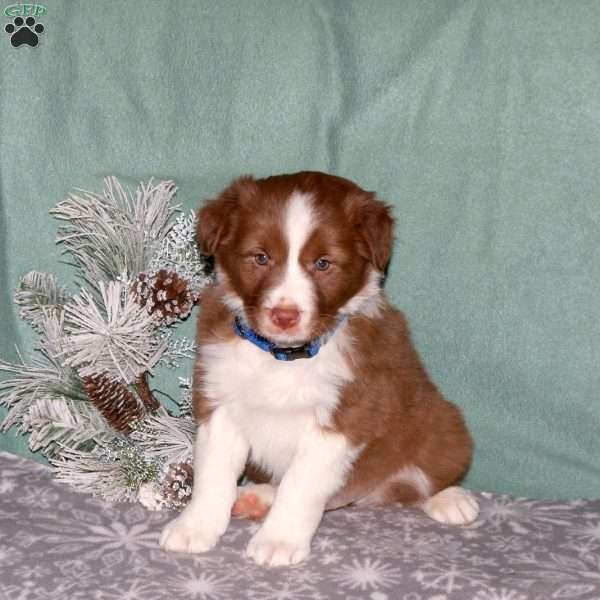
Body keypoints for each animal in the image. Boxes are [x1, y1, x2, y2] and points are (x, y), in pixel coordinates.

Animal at [161, 170, 478, 568]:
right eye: (261, 257)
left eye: (323, 264)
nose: (284, 315)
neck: (282, 357)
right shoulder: (220, 401)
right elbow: (212, 472)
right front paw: (194, 527)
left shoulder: (346, 416)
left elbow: (301, 482)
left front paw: (279, 540)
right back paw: (258, 498)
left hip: (443, 422)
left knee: (420, 480)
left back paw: (451, 498)